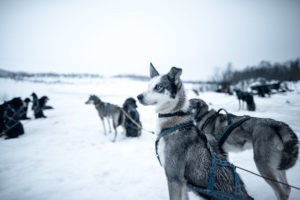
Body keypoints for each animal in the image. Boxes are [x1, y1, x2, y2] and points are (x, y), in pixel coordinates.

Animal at [137, 63, 252, 200]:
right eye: (148, 85)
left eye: (158, 87)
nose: (138, 97)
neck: (174, 121)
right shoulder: (183, 183)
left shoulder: (174, 178)